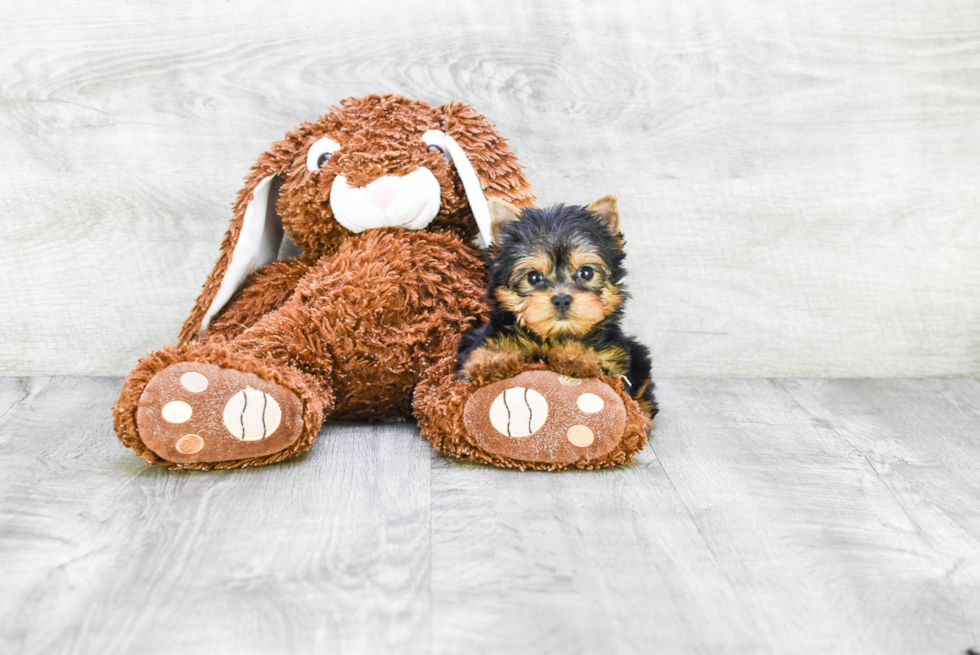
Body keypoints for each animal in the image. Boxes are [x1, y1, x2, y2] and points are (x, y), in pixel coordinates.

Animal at [454, 197, 656, 418]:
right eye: (533, 277)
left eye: (586, 272)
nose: (561, 299)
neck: (553, 336)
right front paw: (492, 361)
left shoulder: (612, 361)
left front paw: (575, 356)